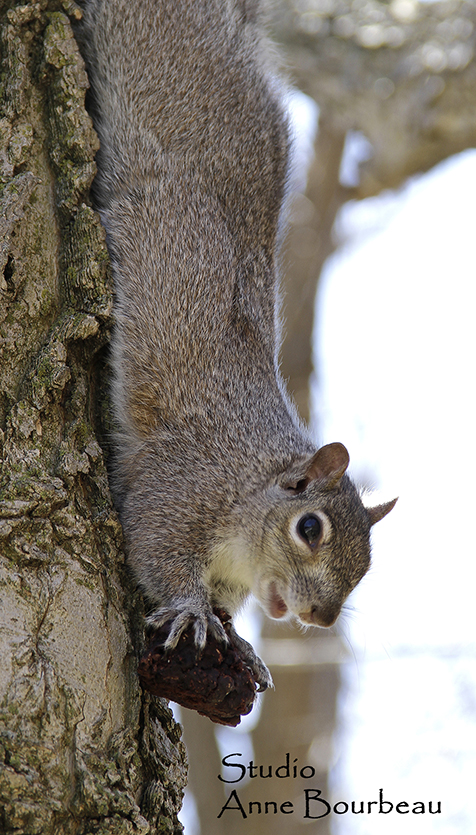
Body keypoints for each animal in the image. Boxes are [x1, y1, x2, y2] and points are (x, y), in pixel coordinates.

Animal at [73, 0, 394, 692]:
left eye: (367, 564)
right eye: (309, 529)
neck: (251, 482)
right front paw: (192, 610)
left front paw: (241, 644)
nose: (321, 618)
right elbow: (154, 547)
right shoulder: (181, 486)